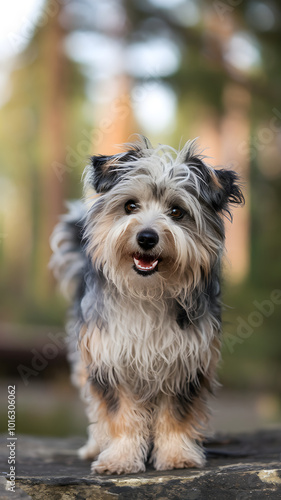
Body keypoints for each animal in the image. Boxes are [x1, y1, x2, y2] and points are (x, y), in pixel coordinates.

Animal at [49, 136, 243, 472]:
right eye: (130, 206)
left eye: (177, 211)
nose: (147, 237)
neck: (148, 293)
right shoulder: (109, 359)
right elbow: (120, 415)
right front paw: (120, 457)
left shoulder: (186, 362)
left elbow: (176, 414)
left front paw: (177, 455)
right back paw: (95, 445)